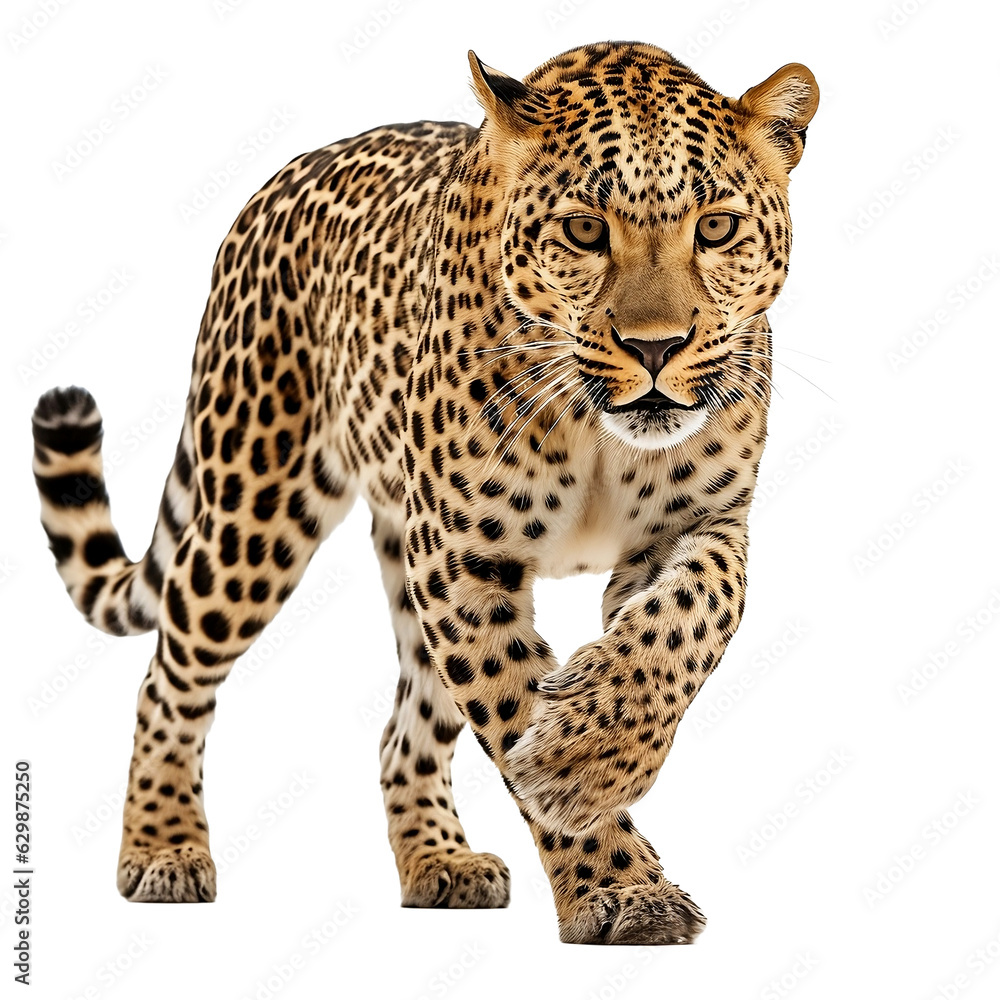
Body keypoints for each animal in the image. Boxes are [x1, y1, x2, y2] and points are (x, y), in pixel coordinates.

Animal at [31, 41, 818, 944]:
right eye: (585, 231)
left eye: (716, 227)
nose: (656, 349)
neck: (595, 431)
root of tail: (275, 186)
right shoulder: (464, 558)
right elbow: (511, 701)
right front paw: (614, 876)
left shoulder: (702, 525)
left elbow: (688, 625)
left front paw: (584, 760)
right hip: (256, 507)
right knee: (170, 675)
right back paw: (162, 848)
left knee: (400, 731)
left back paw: (440, 861)